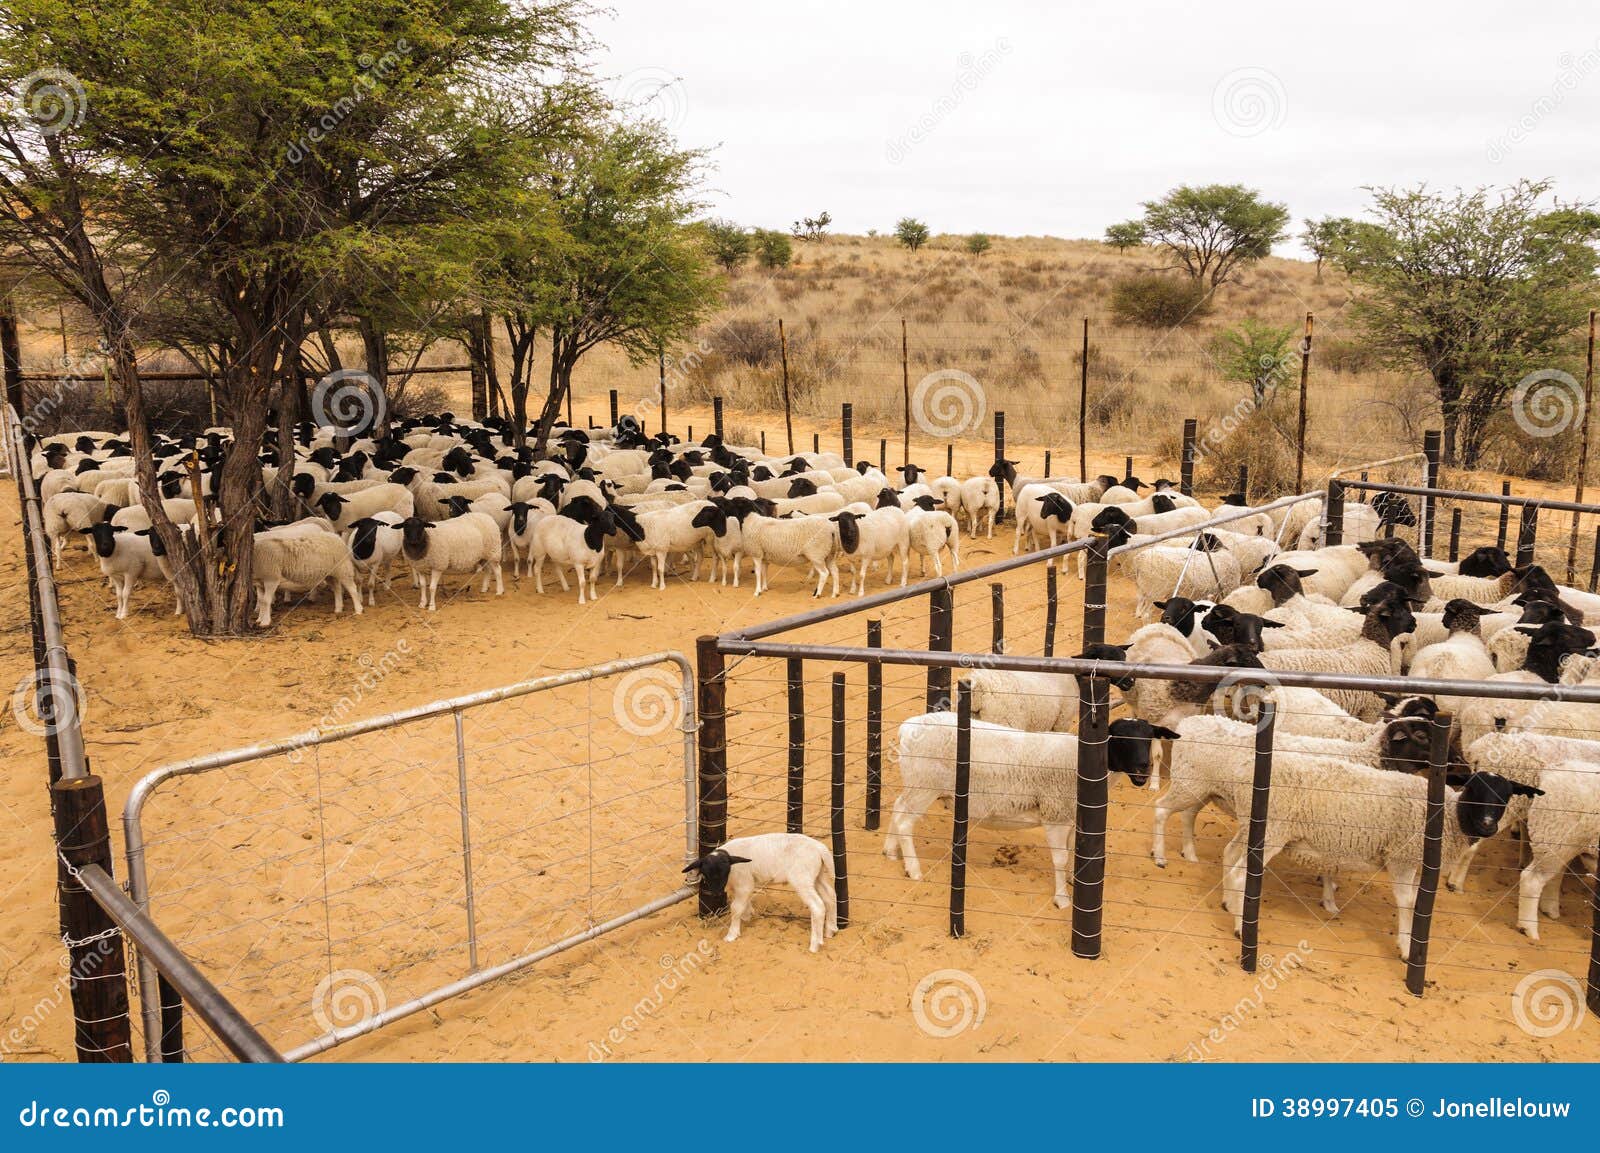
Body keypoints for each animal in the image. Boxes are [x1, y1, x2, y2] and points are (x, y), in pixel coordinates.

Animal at [684, 831, 844, 946]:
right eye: (706, 873)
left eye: (725, 871)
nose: (717, 893)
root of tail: (820, 849)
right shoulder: (743, 886)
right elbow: (743, 904)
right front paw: (747, 916)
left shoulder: (744, 884)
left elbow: (735, 908)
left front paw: (732, 934)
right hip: (817, 875)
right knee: (830, 896)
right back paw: (831, 930)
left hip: (802, 878)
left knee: (817, 906)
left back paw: (815, 944)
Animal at [889, 710, 1177, 908]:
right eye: (1120, 738)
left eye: (1149, 737)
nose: (1143, 769)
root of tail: (907, 728)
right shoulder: (1055, 814)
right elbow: (1059, 858)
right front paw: (1062, 899)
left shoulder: (1070, 815)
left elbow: (1072, 851)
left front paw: (1073, 880)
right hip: (925, 785)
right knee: (905, 822)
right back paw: (913, 869)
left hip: (915, 783)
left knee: (897, 807)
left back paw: (890, 852)